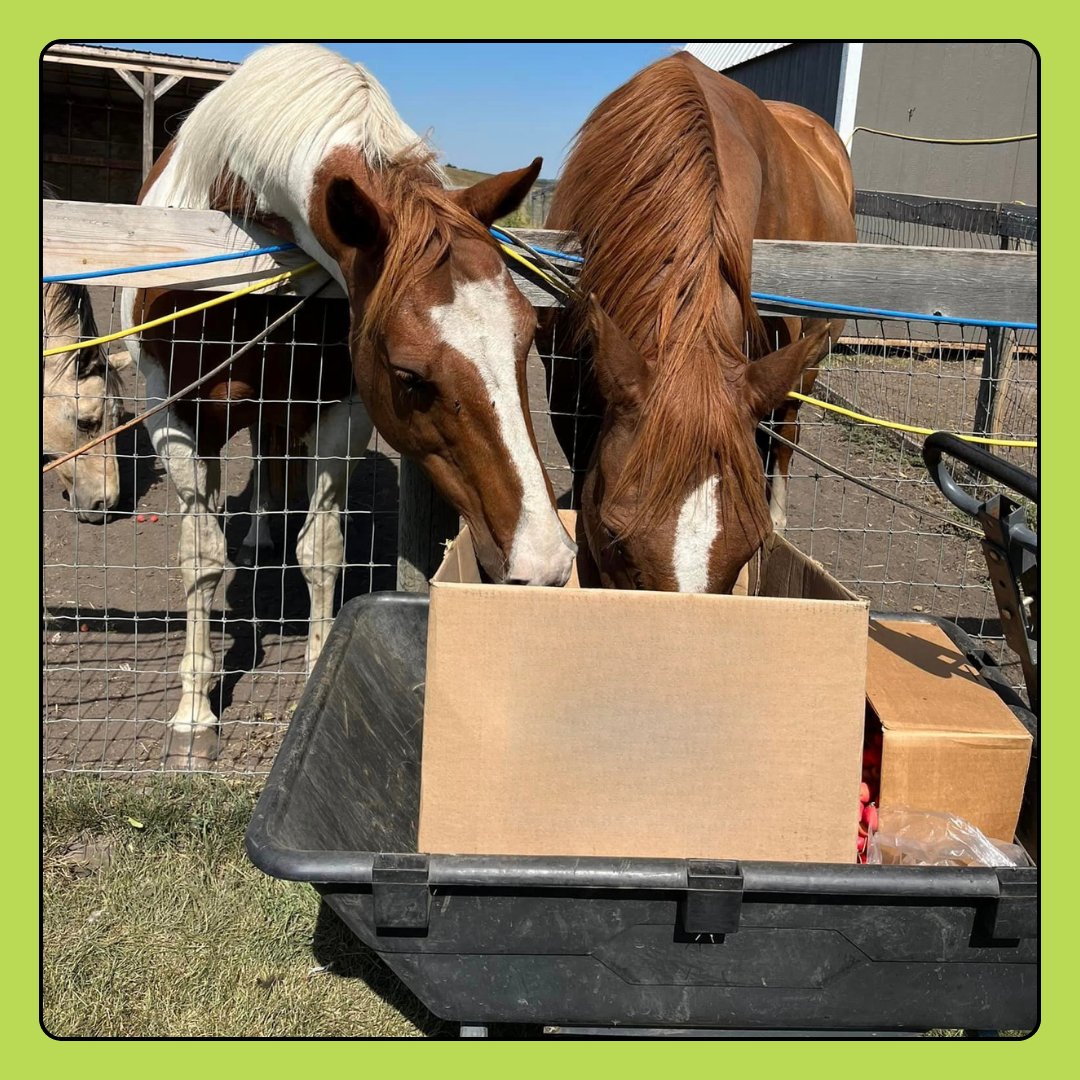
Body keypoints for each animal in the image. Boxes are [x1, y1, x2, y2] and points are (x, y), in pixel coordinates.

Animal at [122, 43, 574, 766]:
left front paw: (315, 671)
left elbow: (322, 549)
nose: (547, 562)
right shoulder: (175, 413)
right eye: (409, 373)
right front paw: (194, 715)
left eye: (528, 335)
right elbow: (199, 556)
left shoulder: (341, 409)